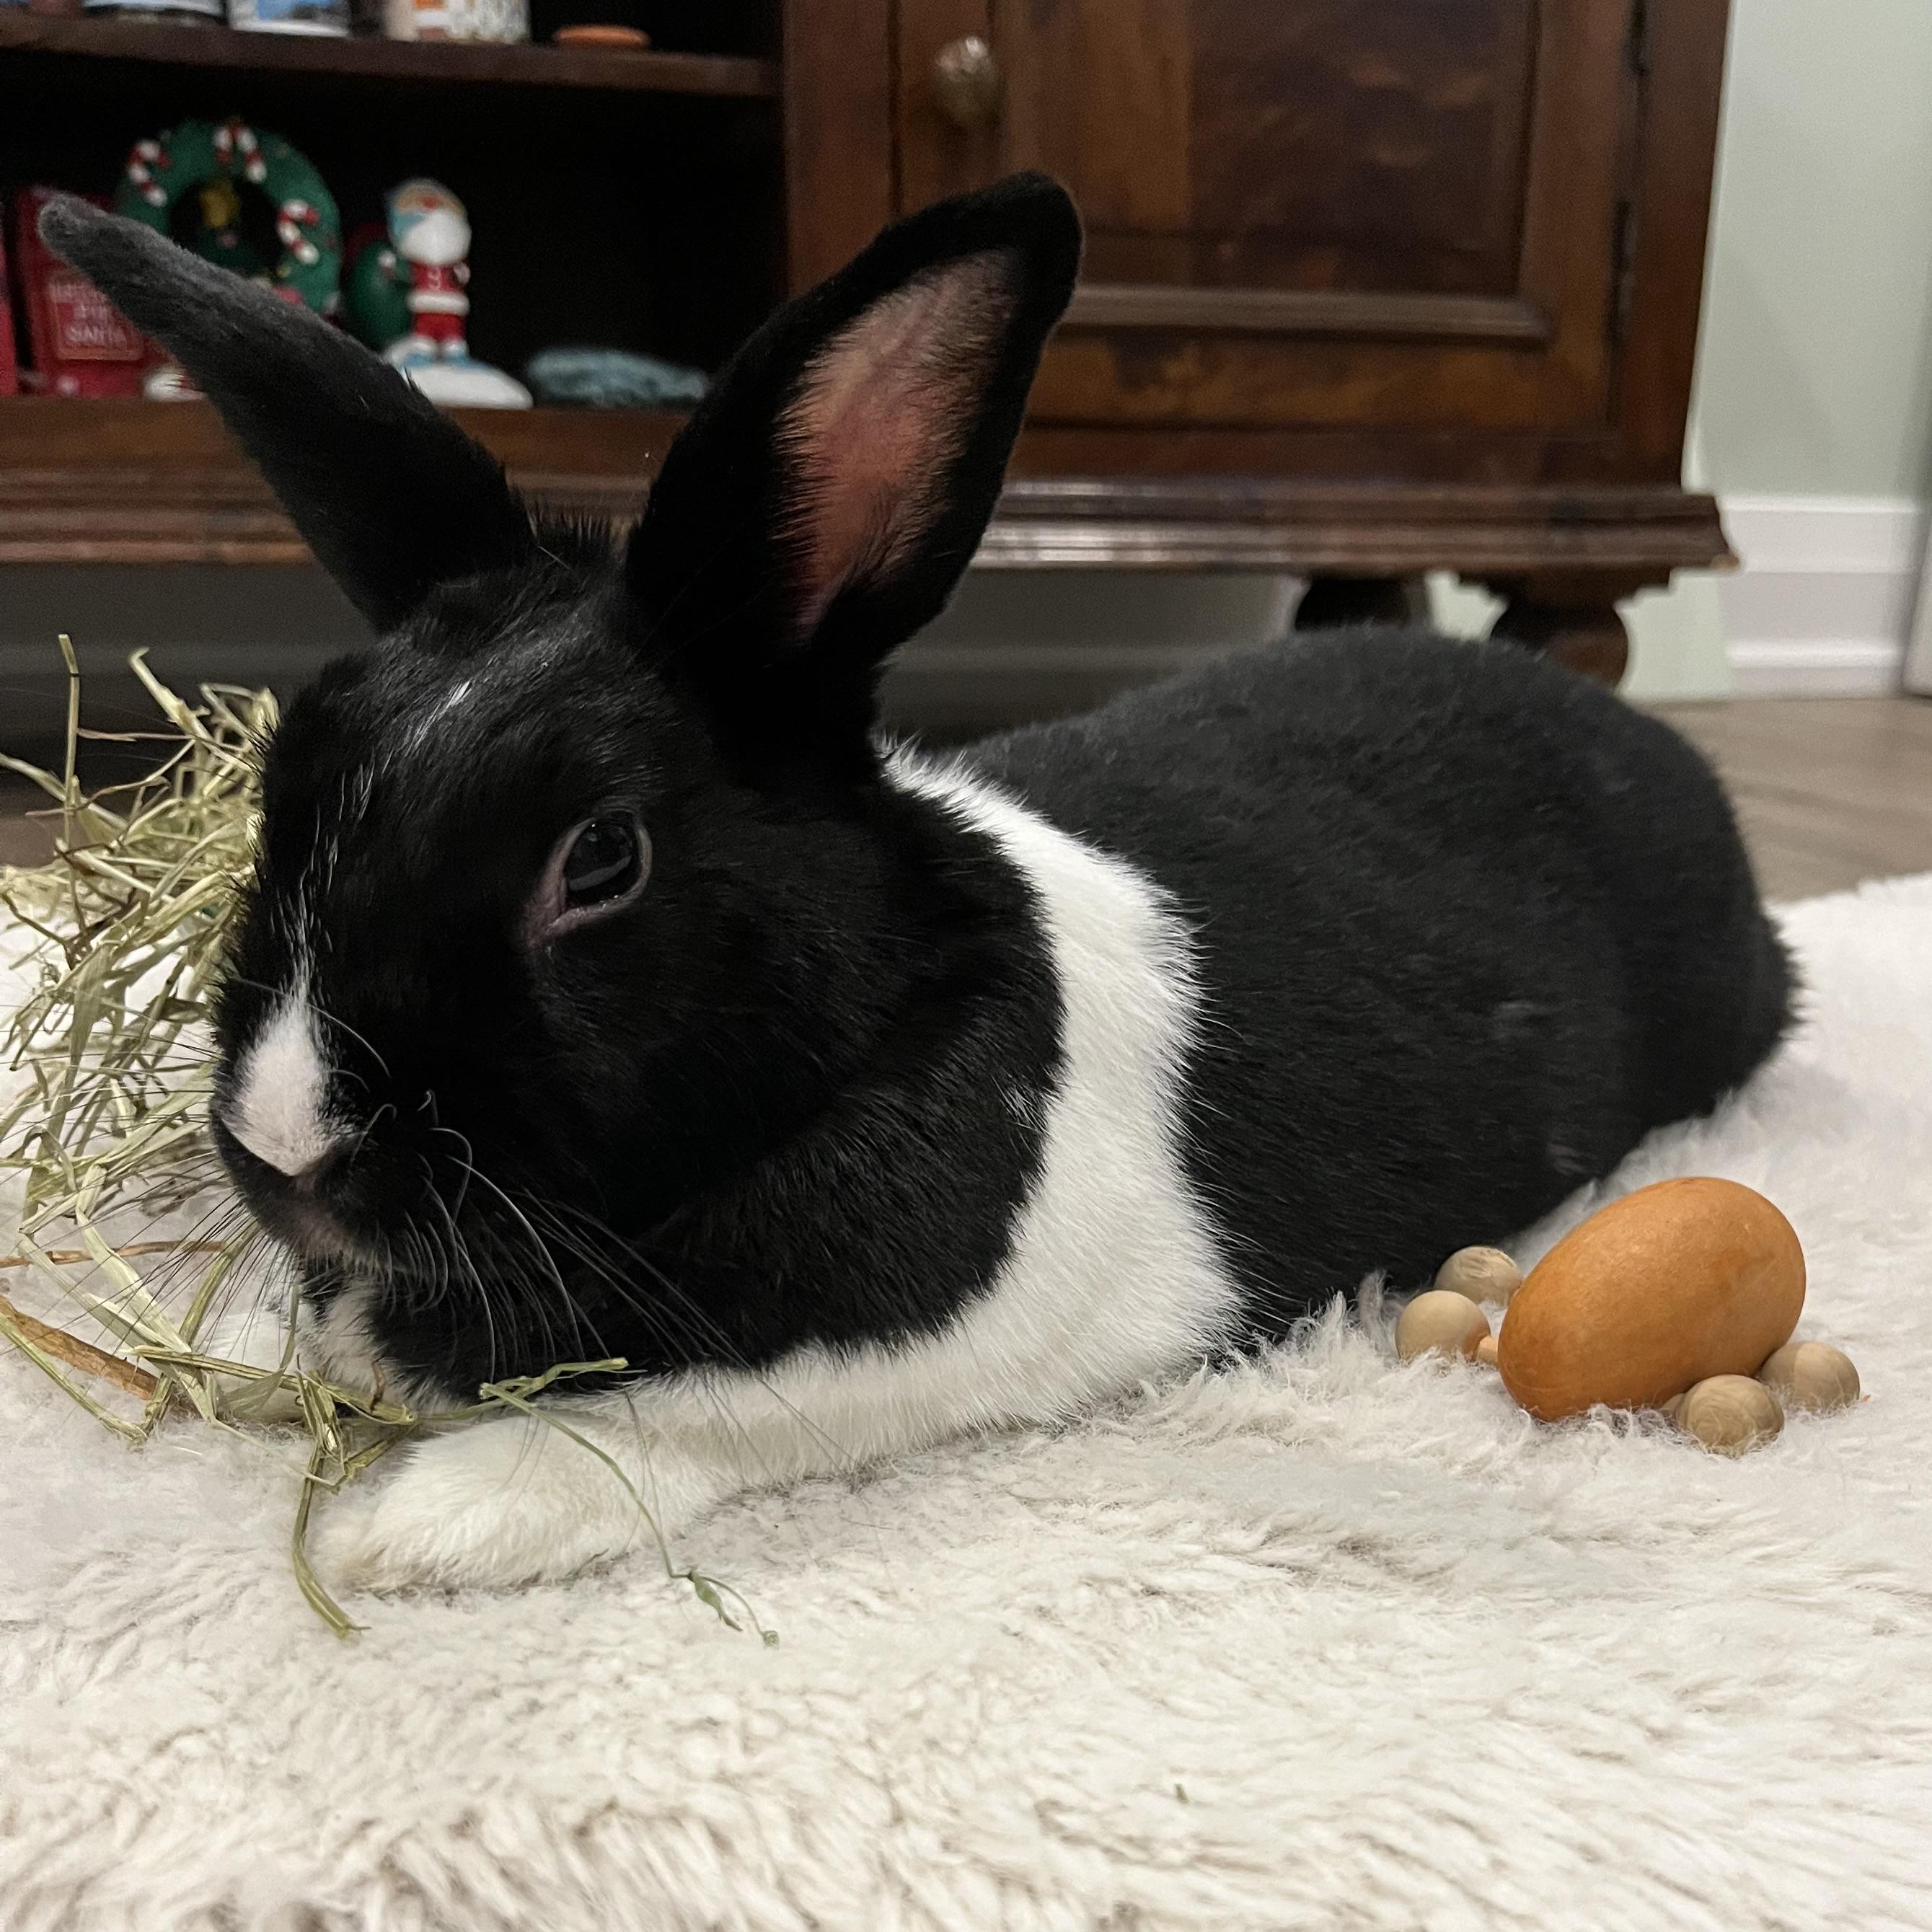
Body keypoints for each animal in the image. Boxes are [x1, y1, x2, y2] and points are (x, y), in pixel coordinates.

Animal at [40, 176, 1792, 1593]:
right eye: (288, 773)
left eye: (599, 858)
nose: (288, 1150)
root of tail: (1660, 755)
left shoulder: (899, 1352)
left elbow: (684, 1417)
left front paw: (417, 1528)